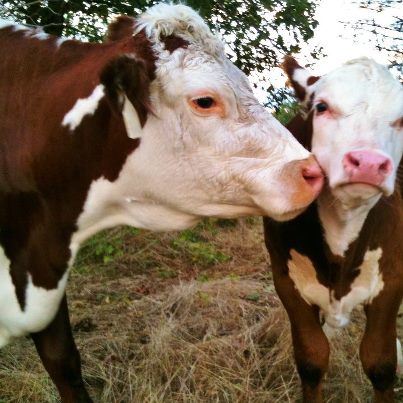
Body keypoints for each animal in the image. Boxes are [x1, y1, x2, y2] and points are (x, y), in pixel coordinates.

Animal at [266, 57, 403, 403]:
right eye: (322, 107)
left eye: (402, 119)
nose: (368, 162)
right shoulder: (285, 280)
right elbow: (312, 359)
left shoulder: (392, 277)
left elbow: (380, 364)